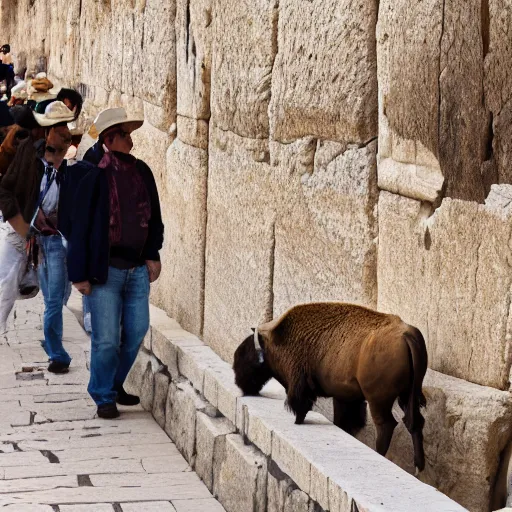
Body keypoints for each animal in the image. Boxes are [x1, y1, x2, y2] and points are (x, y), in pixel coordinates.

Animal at [233, 302, 428, 470]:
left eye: (248, 353)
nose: (239, 382)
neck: (278, 340)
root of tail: (406, 334)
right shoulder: (345, 398)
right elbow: (344, 420)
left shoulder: (300, 386)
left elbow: (301, 407)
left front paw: (298, 422)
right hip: (407, 396)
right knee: (414, 422)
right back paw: (419, 466)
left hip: (378, 400)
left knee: (387, 425)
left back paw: (380, 454)